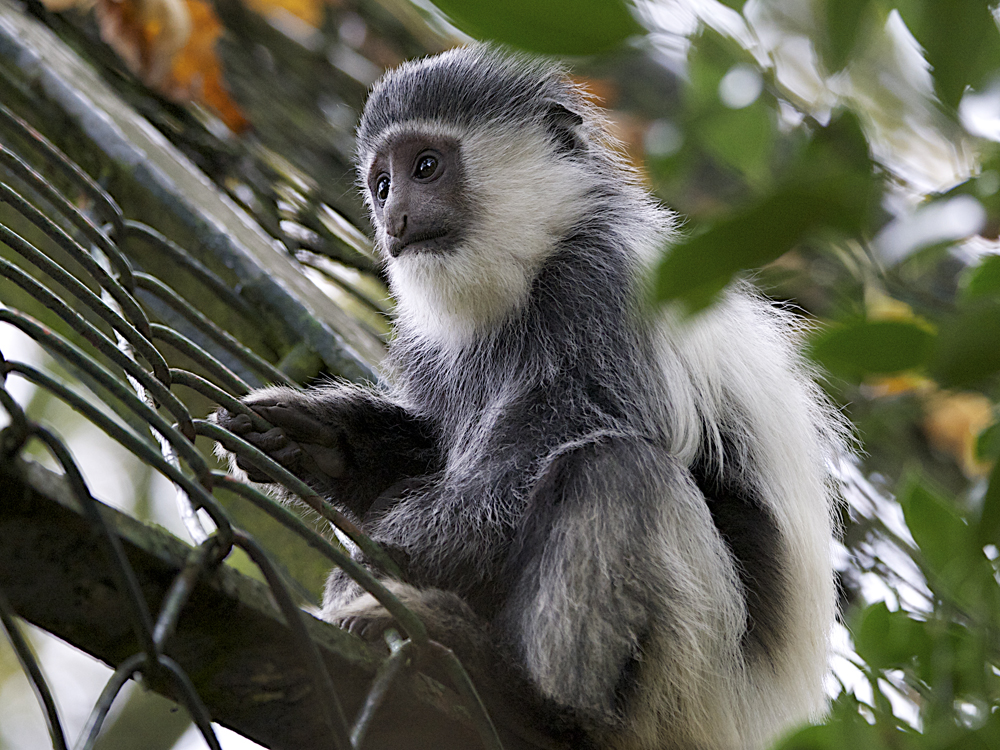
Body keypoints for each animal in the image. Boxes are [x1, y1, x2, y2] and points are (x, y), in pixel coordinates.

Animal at [215, 45, 848, 750]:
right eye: (381, 183)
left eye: (425, 166)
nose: (394, 218)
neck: (532, 267)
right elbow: (434, 451)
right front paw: (320, 440)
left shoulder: (602, 290)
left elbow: (533, 465)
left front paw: (386, 558)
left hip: (696, 678)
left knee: (613, 469)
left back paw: (518, 688)